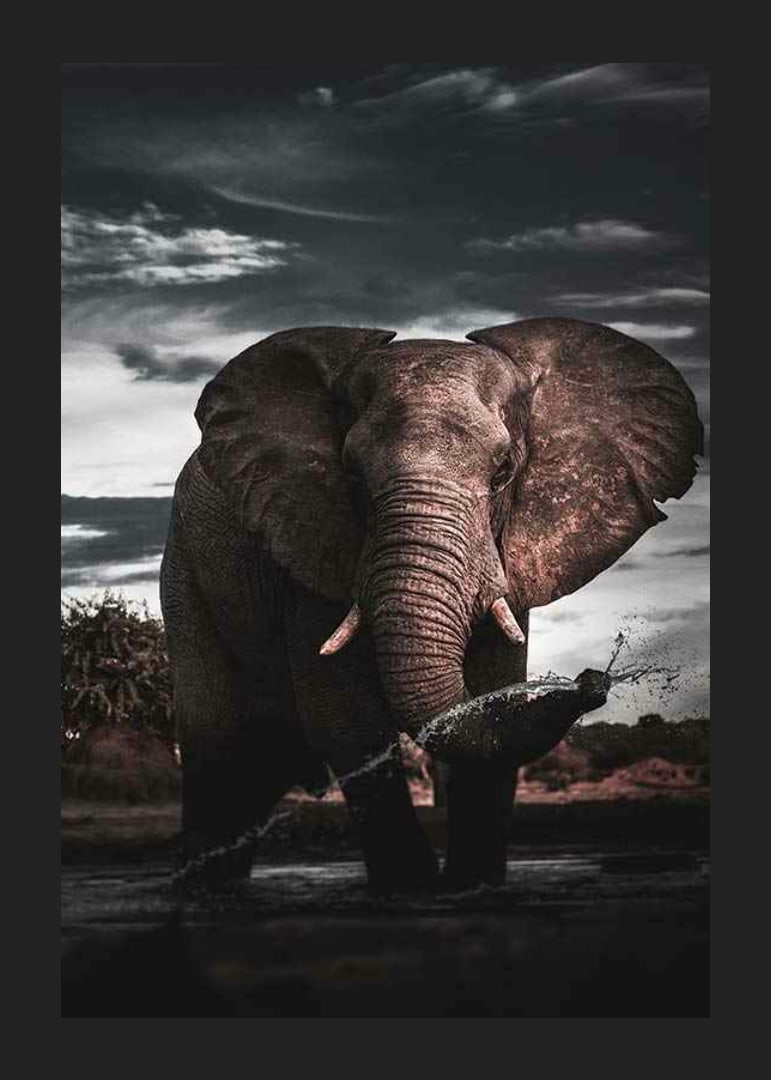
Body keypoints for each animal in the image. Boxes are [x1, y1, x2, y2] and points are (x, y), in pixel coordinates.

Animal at [160, 317, 703, 894]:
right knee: (215, 740)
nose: (593, 681)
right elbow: (345, 718)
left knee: (265, 756)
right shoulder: (308, 542)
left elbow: (491, 692)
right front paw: (412, 889)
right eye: (351, 474)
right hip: (185, 570)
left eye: (504, 471)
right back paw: (202, 891)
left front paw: (473, 886)